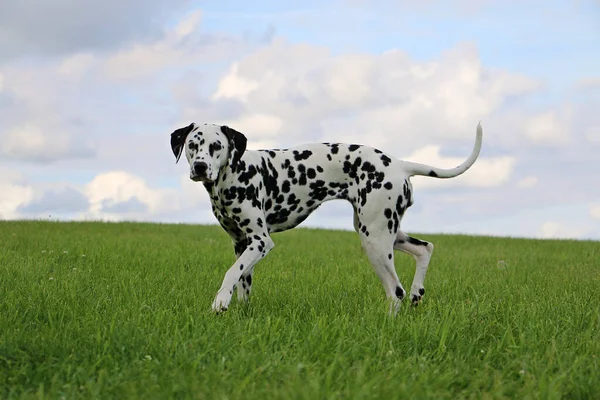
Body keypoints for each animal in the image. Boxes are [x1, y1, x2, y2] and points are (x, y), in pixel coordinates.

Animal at [169, 120, 482, 314]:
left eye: (216, 146)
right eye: (193, 145)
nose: (200, 167)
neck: (234, 172)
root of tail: (399, 164)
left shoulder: (260, 241)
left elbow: (230, 273)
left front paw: (220, 301)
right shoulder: (241, 243)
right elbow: (242, 280)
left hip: (375, 241)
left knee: (396, 291)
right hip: (383, 231)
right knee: (424, 248)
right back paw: (418, 290)